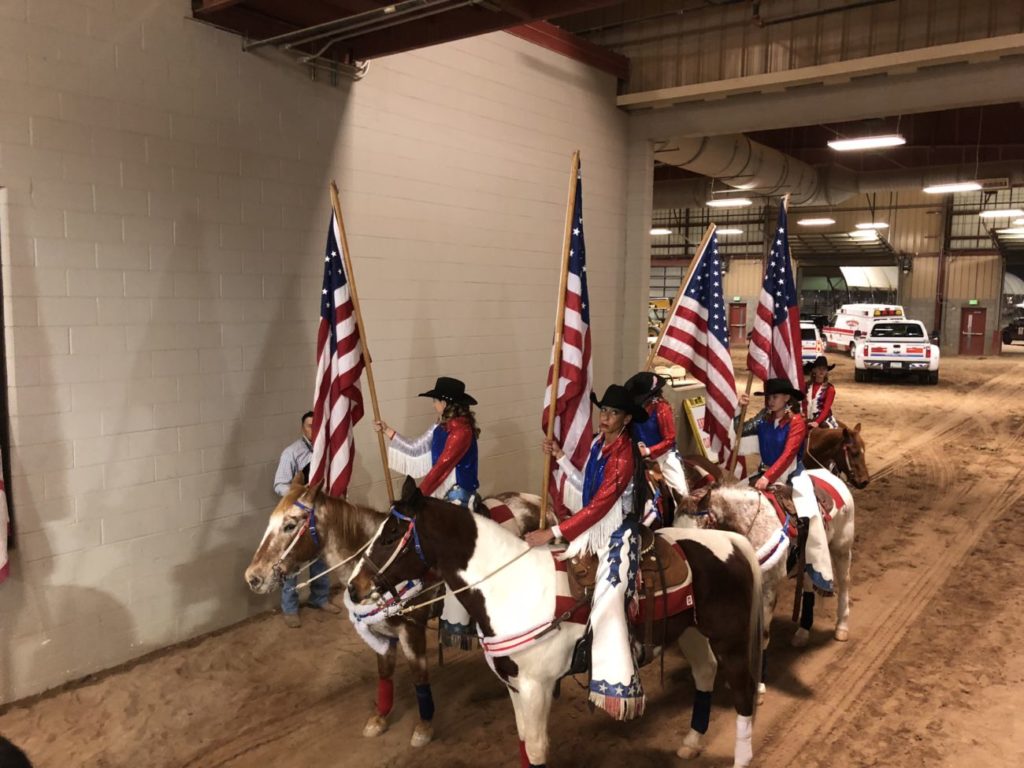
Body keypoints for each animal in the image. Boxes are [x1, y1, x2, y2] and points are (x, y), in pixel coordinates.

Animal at [348, 479, 765, 765]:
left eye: (390, 534)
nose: (354, 587)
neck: (511, 586)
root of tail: (731, 541)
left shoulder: (537, 687)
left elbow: (536, 749)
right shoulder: (515, 685)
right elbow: (523, 742)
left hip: (729, 640)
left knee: (743, 693)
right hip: (692, 632)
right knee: (705, 672)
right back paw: (691, 743)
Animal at [679, 466, 856, 700]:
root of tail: (830, 475)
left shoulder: (768, 590)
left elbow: (762, 636)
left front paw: (758, 685)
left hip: (841, 547)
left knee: (844, 583)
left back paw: (842, 627)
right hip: (809, 559)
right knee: (808, 586)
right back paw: (802, 632)